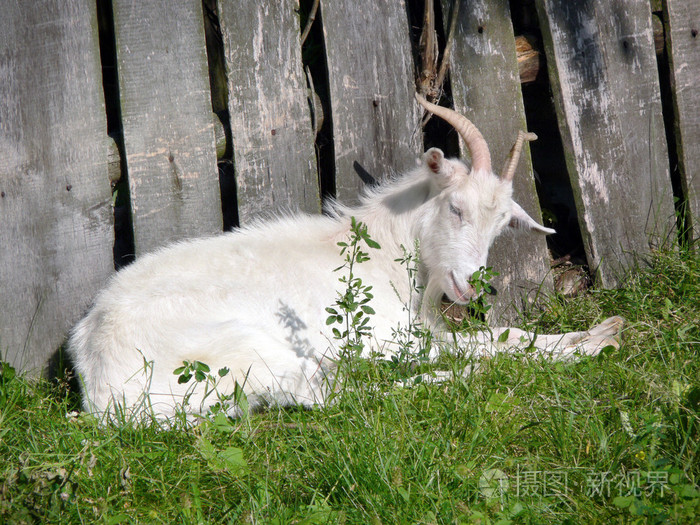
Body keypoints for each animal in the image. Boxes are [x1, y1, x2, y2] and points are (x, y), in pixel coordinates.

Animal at [67, 96, 624, 420]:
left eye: (501, 227)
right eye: (456, 207)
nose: (474, 285)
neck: (385, 247)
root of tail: (102, 394)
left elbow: (502, 333)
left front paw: (595, 331)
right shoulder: (385, 336)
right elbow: (485, 342)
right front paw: (591, 344)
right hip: (248, 352)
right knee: (332, 400)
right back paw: (460, 380)